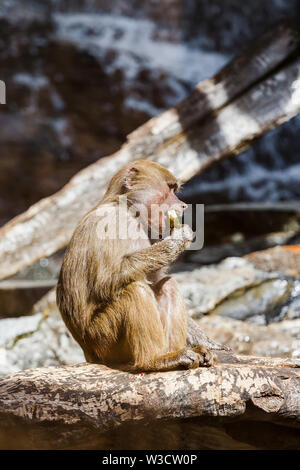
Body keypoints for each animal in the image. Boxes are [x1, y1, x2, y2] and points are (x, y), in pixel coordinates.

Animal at [56, 160, 226, 372]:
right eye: (170, 188)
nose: (183, 205)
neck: (131, 212)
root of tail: (88, 353)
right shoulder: (107, 222)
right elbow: (104, 282)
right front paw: (177, 240)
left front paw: (207, 342)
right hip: (104, 340)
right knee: (135, 291)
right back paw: (154, 360)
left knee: (168, 285)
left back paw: (177, 354)